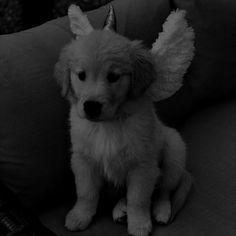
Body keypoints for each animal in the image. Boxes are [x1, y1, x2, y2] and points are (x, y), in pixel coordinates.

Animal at [55, 4, 194, 236]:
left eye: (113, 76)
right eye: (81, 75)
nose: (91, 106)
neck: (108, 123)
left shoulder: (142, 164)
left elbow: (138, 198)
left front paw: (139, 223)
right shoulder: (83, 160)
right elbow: (86, 193)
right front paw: (79, 215)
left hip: (174, 154)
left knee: (163, 190)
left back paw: (161, 210)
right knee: (124, 194)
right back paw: (121, 210)